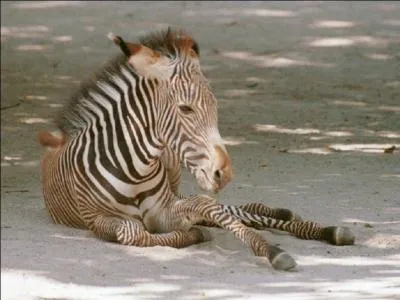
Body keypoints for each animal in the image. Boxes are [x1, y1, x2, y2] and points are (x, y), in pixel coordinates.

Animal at [39, 28, 354, 272]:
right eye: (186, 109)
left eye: (215, 106)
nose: (224, 174)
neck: (134, 169)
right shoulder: (96, 218)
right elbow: (133, 232)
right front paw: (192, 233)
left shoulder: (165, 207)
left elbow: (208, 206)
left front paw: (268, 247)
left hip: (174, 171)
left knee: (226, 207)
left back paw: (315, 226)